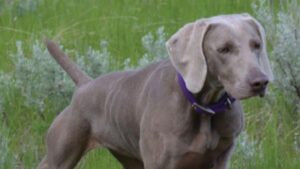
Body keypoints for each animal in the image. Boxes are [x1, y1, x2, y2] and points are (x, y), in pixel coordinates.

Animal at [37, 13, 272, 169]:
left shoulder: (221, 158)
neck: (203, 106)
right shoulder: (160, 163)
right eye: (224, 49)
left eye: (256, 45)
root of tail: (84, 85)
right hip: (58, 155)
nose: (260, 82)